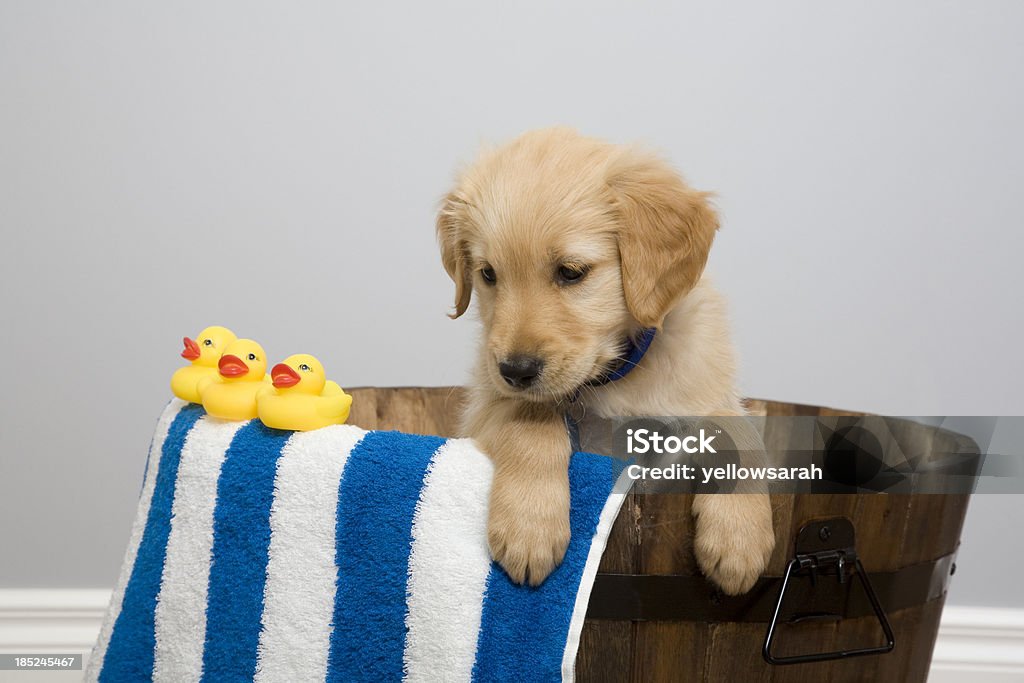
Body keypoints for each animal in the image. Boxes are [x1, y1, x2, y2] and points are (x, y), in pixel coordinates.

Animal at [434, 127, 774, 593]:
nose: (515, 371)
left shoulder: (699, 397)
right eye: (488, 274)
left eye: (571, 272)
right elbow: (532, 418)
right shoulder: (485, 404)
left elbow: (738, 429)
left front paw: (740, 537)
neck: (614, 377)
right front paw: (529, 526)